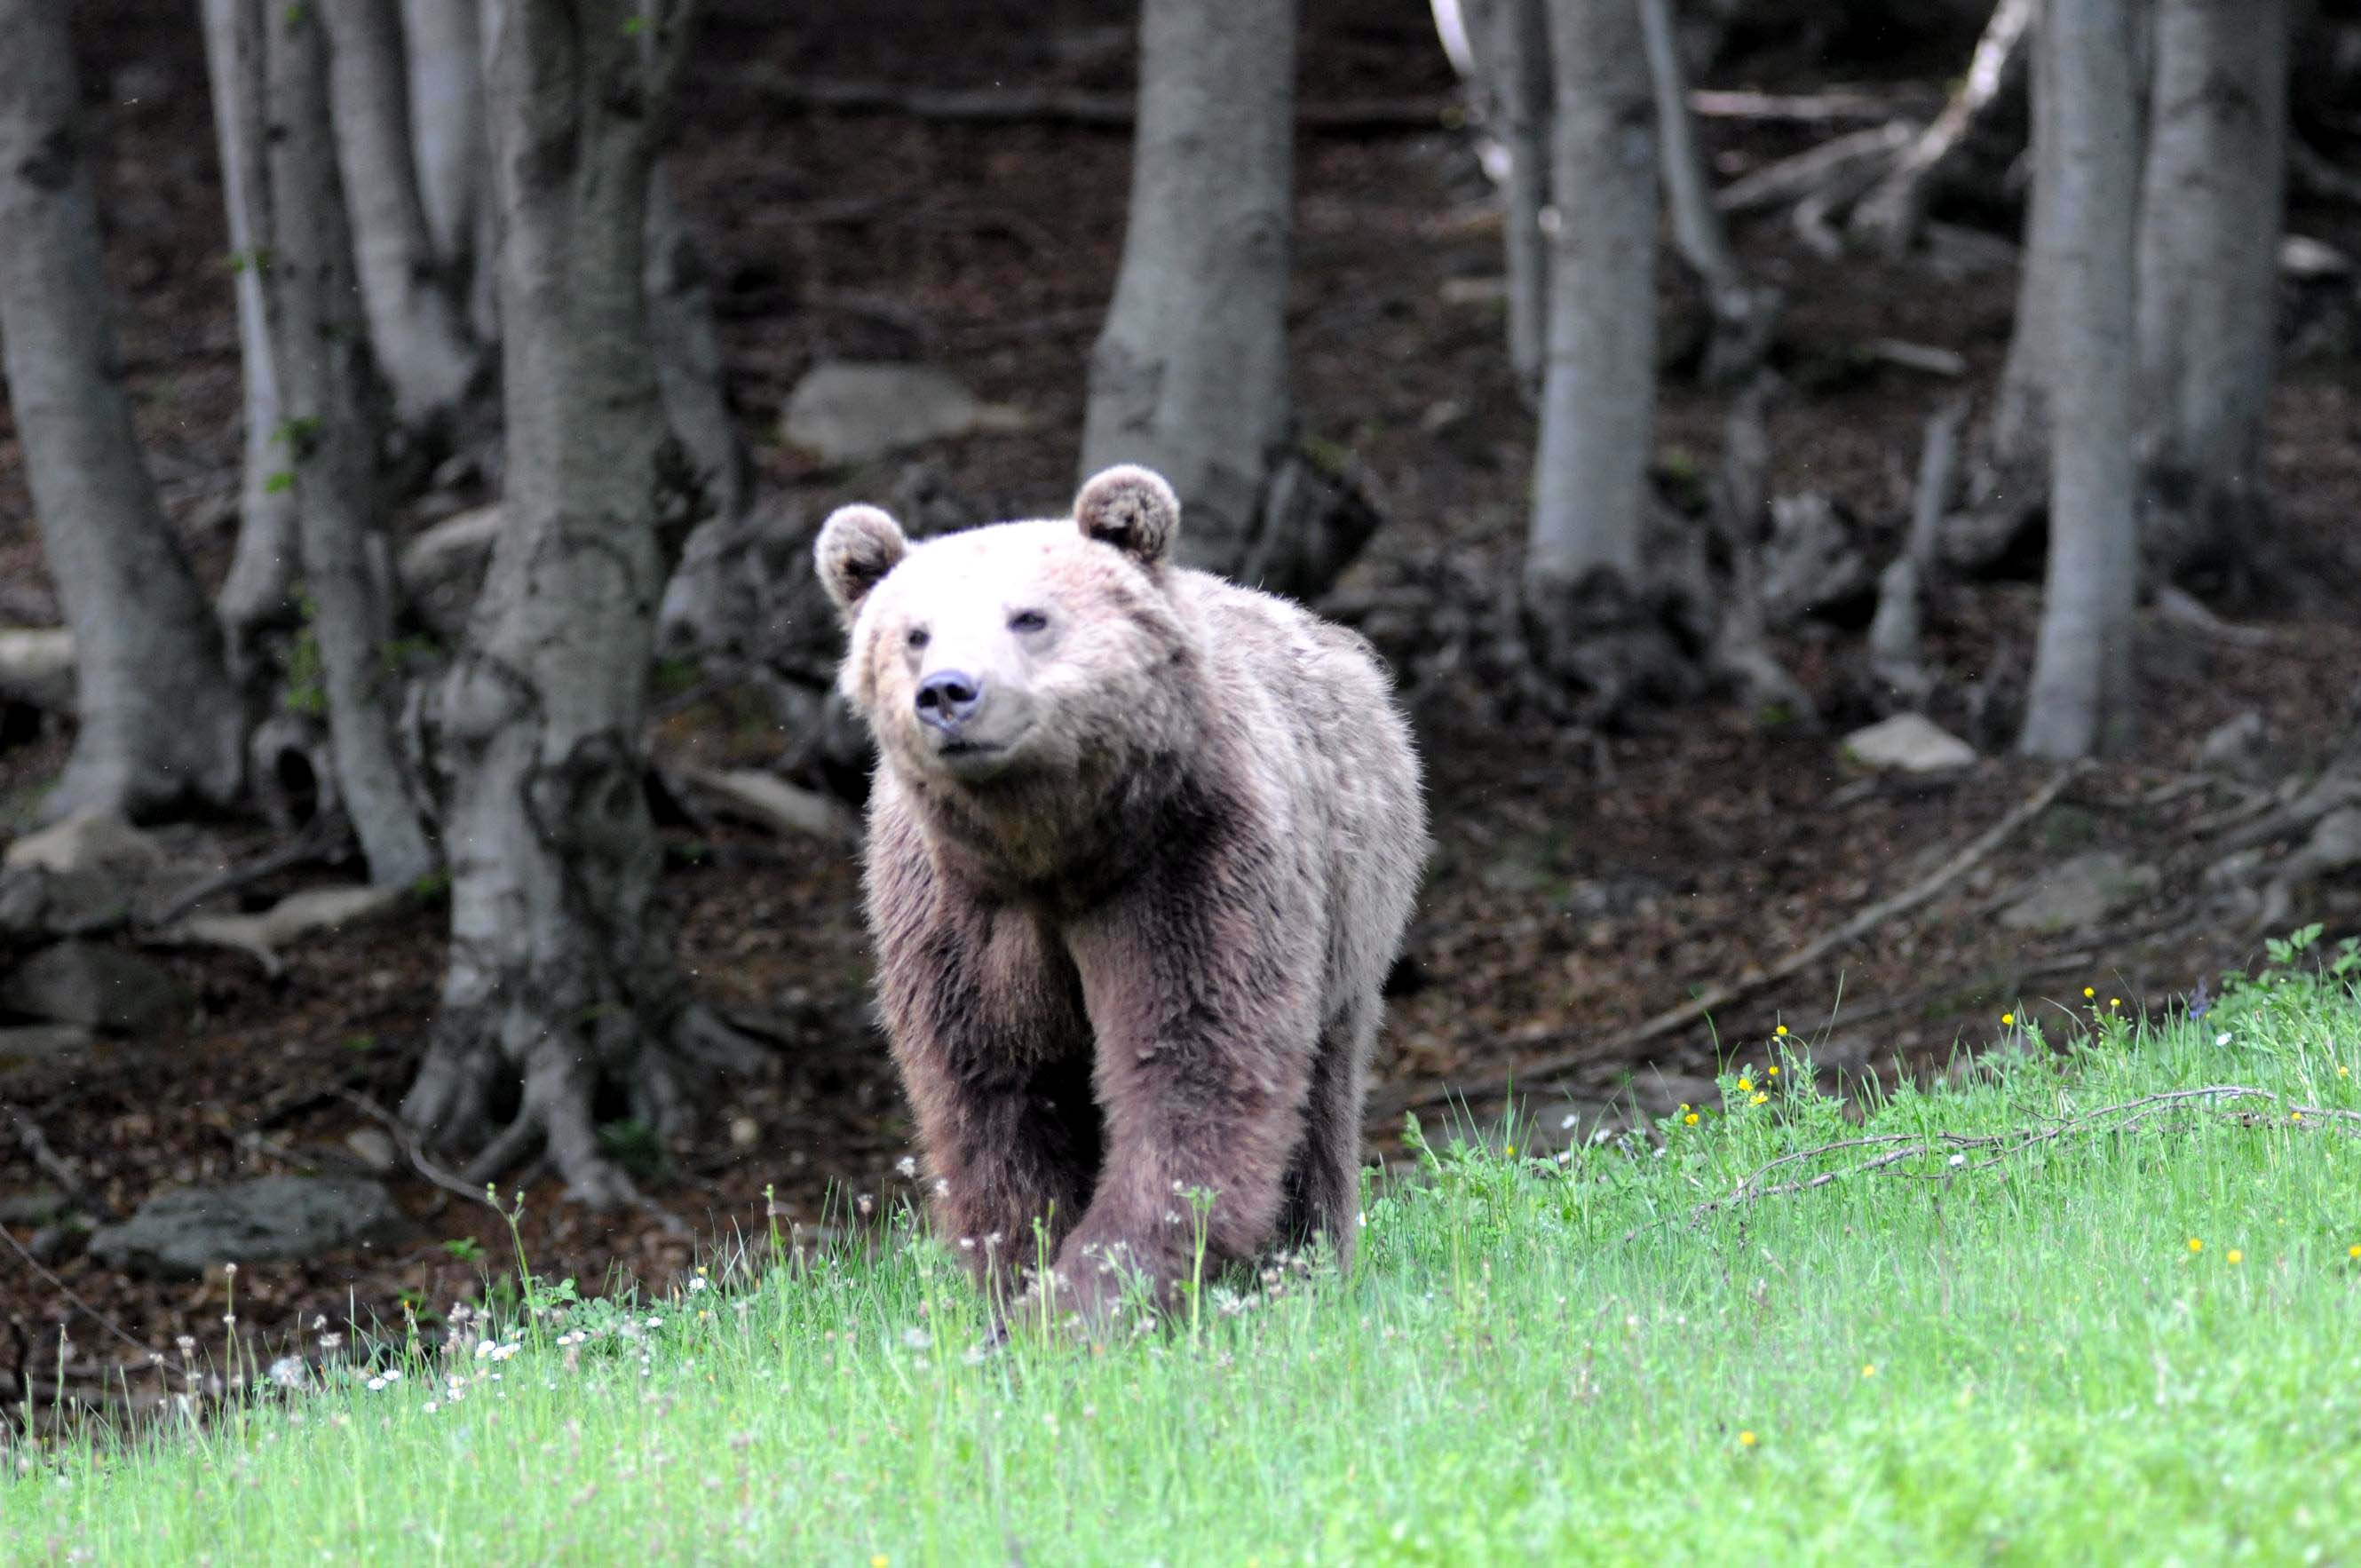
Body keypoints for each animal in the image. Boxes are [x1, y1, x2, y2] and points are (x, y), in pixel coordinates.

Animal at [821, 464, 1416, 1322]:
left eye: (1029, 616)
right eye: (914, 633)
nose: (947, 694)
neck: (1056, 850)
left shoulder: (1188, 867)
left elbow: (1191, 1062)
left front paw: (1092, 1296)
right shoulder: (957, 914)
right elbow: (997, 1093)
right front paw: (1023, 1282)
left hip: (1347, 914)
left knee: (1322, 1098)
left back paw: (1305, 1265)